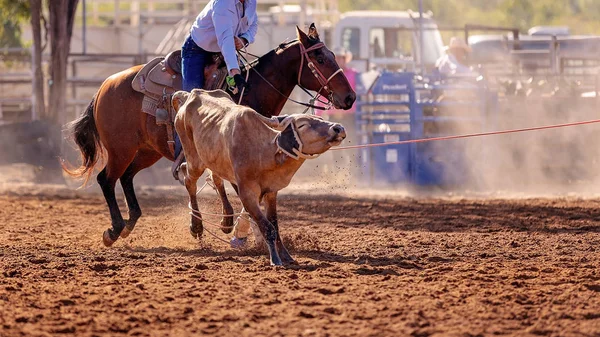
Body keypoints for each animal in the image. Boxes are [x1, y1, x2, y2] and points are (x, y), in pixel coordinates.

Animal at [64, 23, 356, 244]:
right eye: (320, 59)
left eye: (332, 55)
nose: (350, 97)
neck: (250, 90)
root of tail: (104, 86)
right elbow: (236, 190)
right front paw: (241, 232)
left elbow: (226, 184)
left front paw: (234, 226)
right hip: (120, 149)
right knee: (106, 179)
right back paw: (114, 229)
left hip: (146, 151)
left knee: (125, 178)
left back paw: (130, 221)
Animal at [172, 89, 346, 266]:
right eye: (302, 125)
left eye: (321, 119)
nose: (338, 128)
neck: (264, 150)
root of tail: (191, 95)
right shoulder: (247, 193)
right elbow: (267, 226)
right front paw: (275, 259)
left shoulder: (271, 192)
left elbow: (275, 225)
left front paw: (286, 256)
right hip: (194, 159)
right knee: (189, 180)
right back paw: (196, 226)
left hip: (213, 159)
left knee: (216, 178)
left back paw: (226, 220)